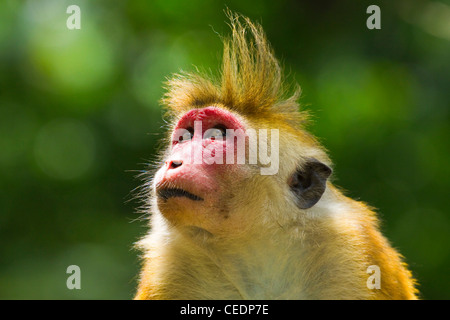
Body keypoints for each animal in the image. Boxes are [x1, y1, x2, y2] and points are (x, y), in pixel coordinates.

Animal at [134, 11, 418, 298]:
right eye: (184, 138)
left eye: (216, 136)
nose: (173, 162)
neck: (255, 248)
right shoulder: (169, 268)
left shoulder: (353, 251)